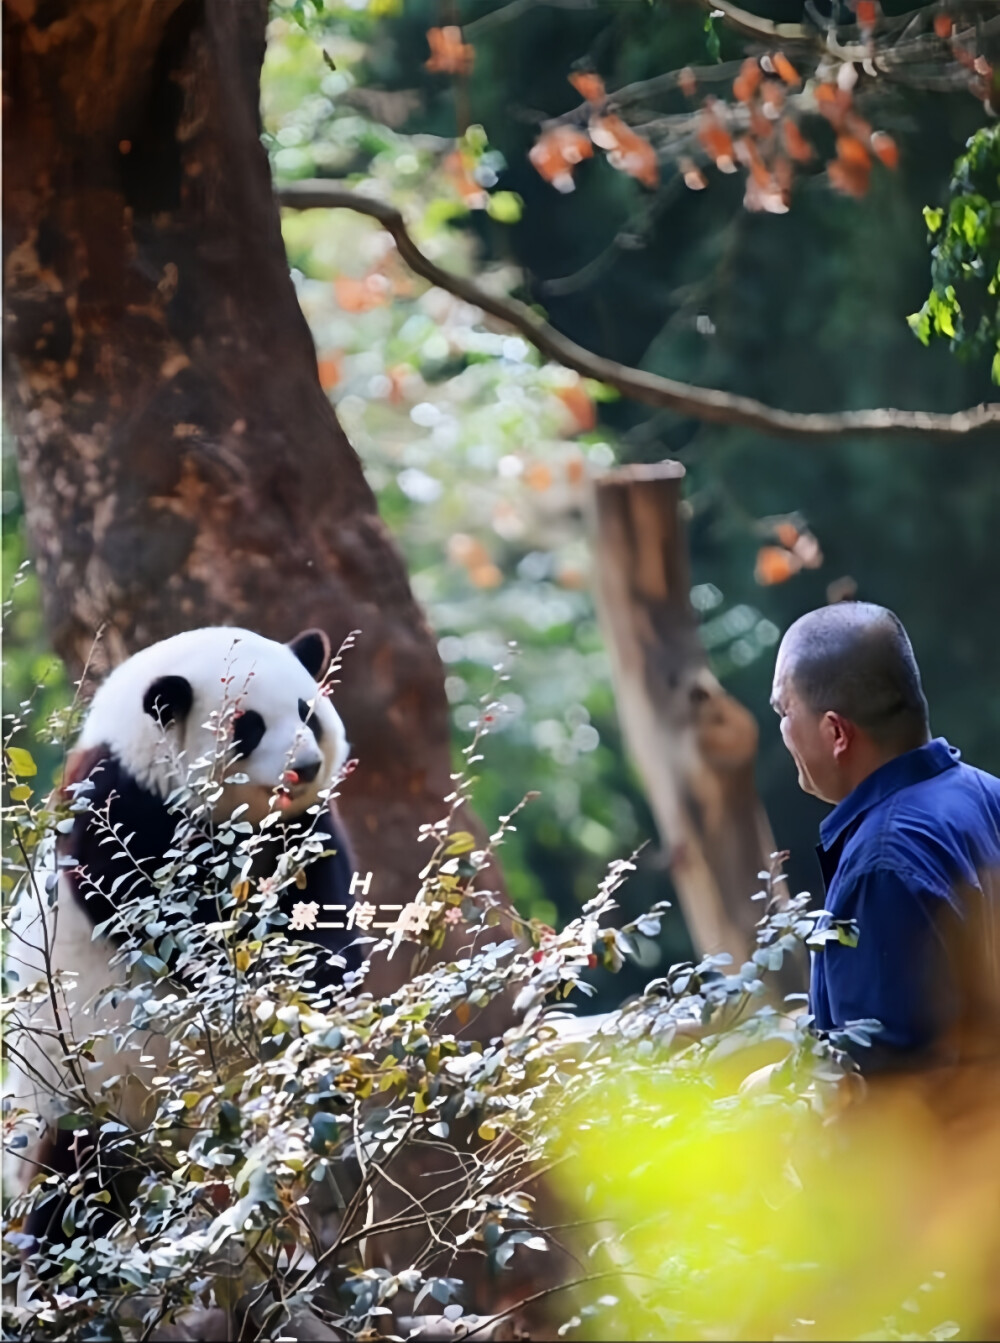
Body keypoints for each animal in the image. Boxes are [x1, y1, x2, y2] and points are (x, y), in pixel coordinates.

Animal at [1, 623, 359, 1240]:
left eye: (307, 712)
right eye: (249, 726)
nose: (307, 766)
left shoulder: (300, 828)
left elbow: (321, 907)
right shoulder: (119, 812)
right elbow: (168, 927)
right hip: (76, 1094)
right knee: (77, 1191)